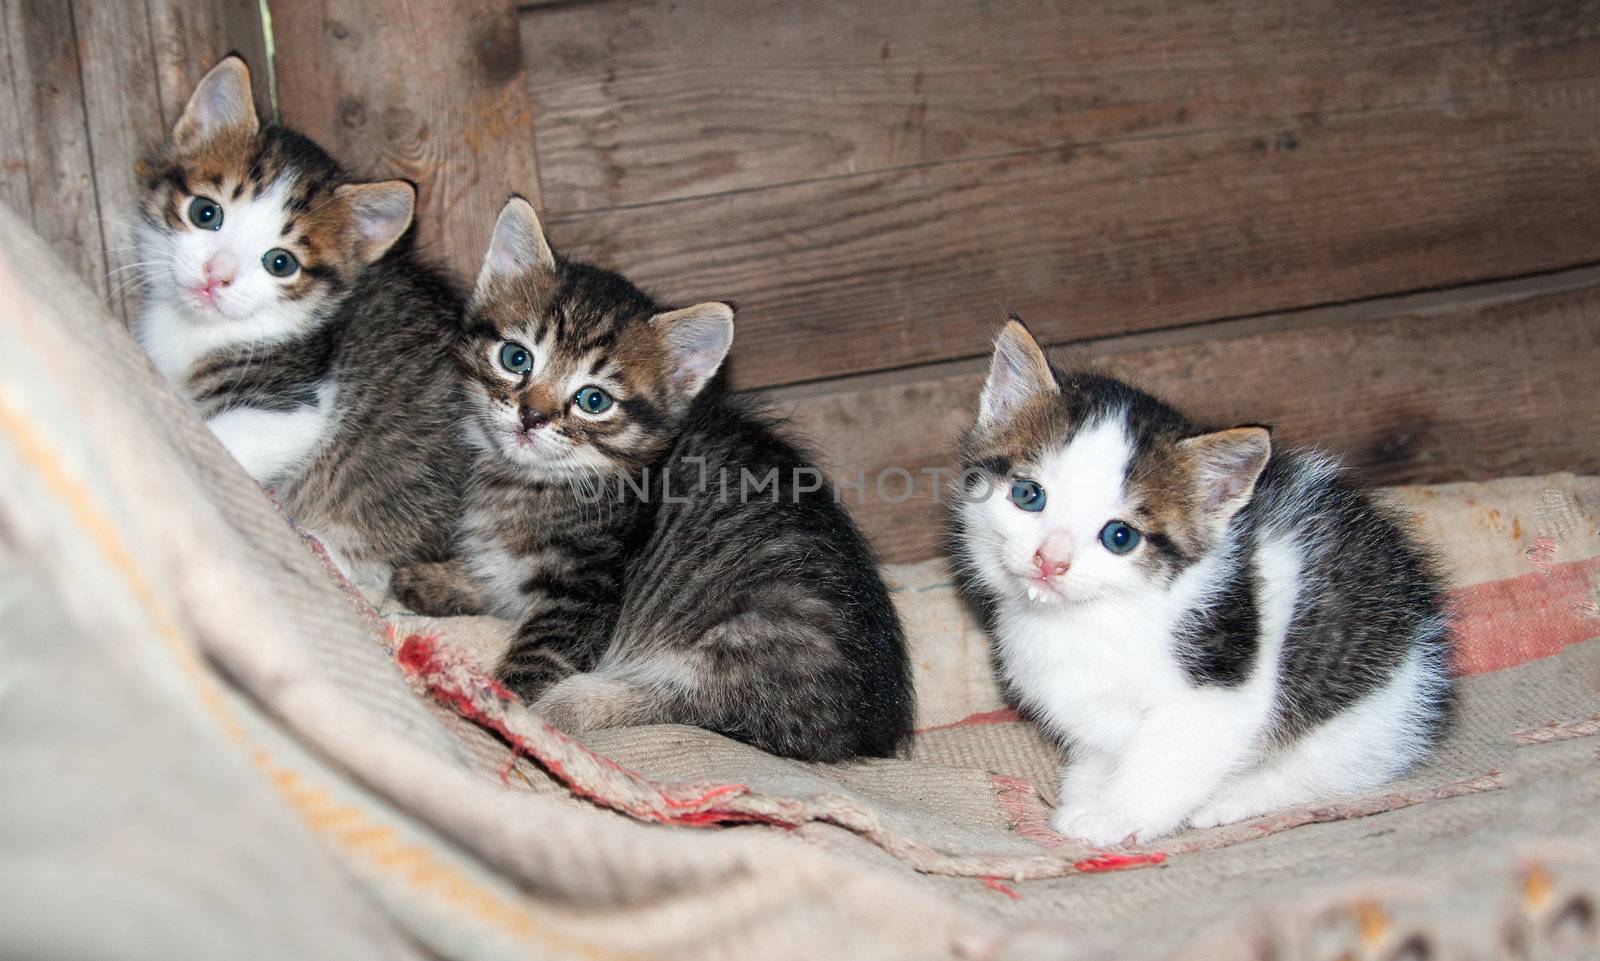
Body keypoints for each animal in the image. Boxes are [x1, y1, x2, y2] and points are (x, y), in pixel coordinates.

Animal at [947, 319, 1465, 837]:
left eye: (1119, 536)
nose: (1050, 561)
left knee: (1340, 764)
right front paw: (1086, 793)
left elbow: (1170, 757)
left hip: (1370, 703)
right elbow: (1097, 752)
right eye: (1028, 495)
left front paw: (1115, 816)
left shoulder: (1217, 693)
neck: (1089, 617)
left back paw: (1234, 798)